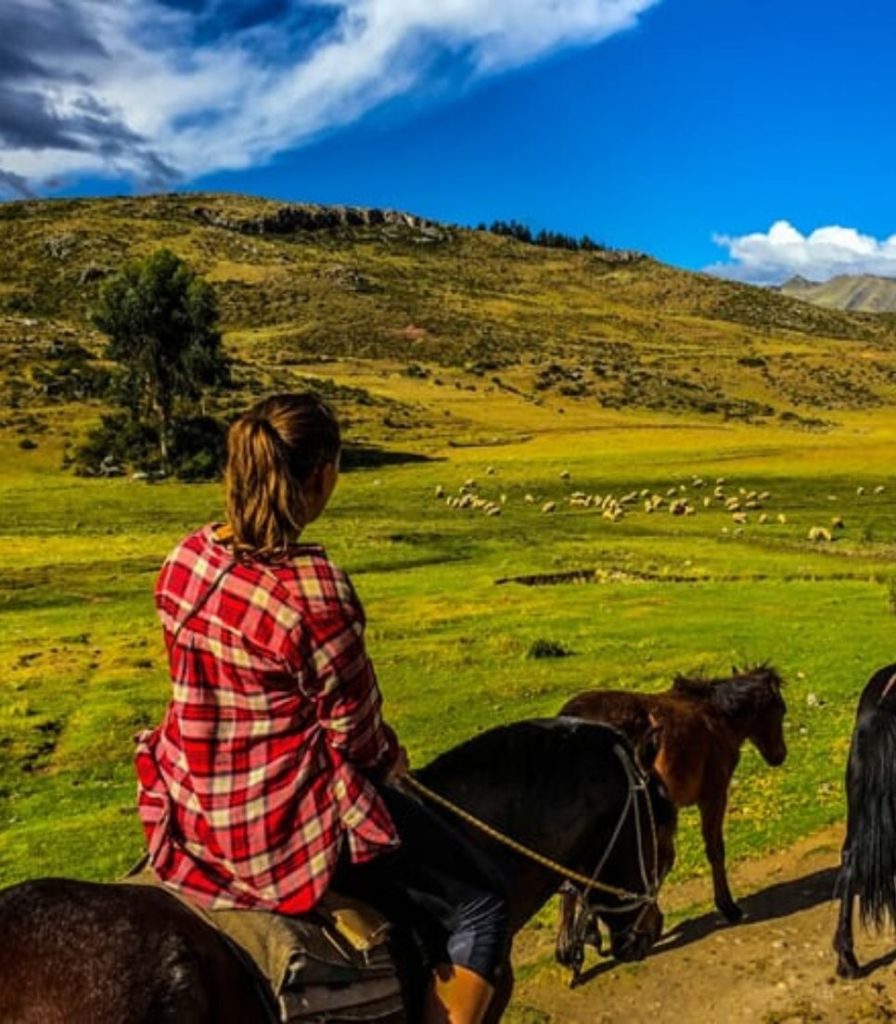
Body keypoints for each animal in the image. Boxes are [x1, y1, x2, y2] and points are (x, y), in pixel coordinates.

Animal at [557, 663, 786, 942]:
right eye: (780, 709)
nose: (779, 755)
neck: (716, 717)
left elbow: (661, 858)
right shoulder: (712, 796)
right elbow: (710, 850)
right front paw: (727, 906)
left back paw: (570, 942)